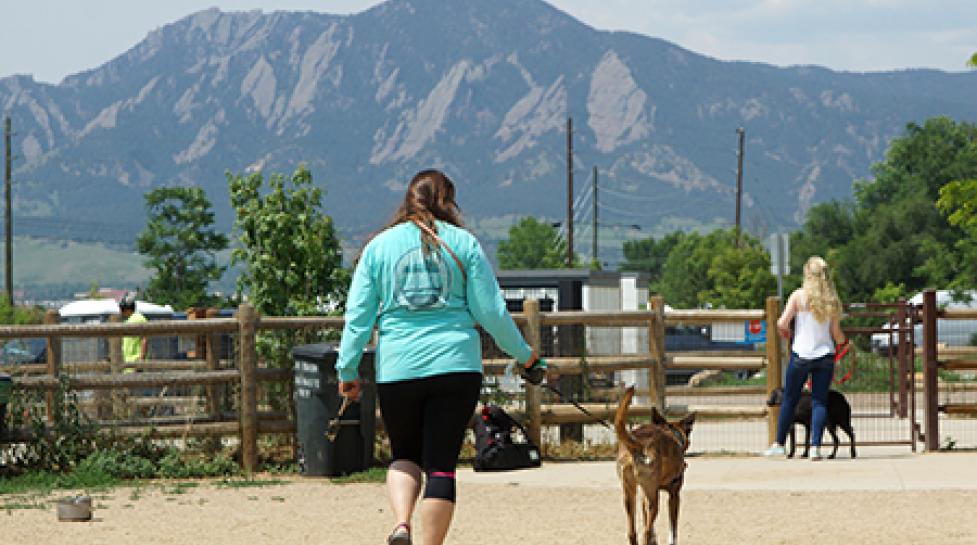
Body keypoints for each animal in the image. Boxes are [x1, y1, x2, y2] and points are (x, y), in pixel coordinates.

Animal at [612, 384, 692, 544]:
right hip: (653, 500)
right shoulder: (674, 495)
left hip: (629, 496)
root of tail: (638, 444)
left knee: (633, 532)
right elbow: (672, 529)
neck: (671, 434)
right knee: (646, 532)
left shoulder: (643, 496)